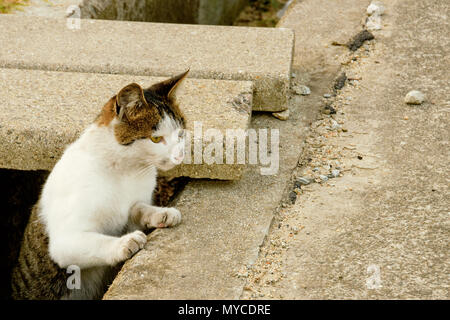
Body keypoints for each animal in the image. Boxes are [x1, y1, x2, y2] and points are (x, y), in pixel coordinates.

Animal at [10, 70, 190, 300]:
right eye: (156, 139)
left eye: (181, 134)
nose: (179, 156)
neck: (127, 170)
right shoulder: (65, 241)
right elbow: (96, 242)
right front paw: (124, 243)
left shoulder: (131, 206)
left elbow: (137, 208)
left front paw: (161, 213)